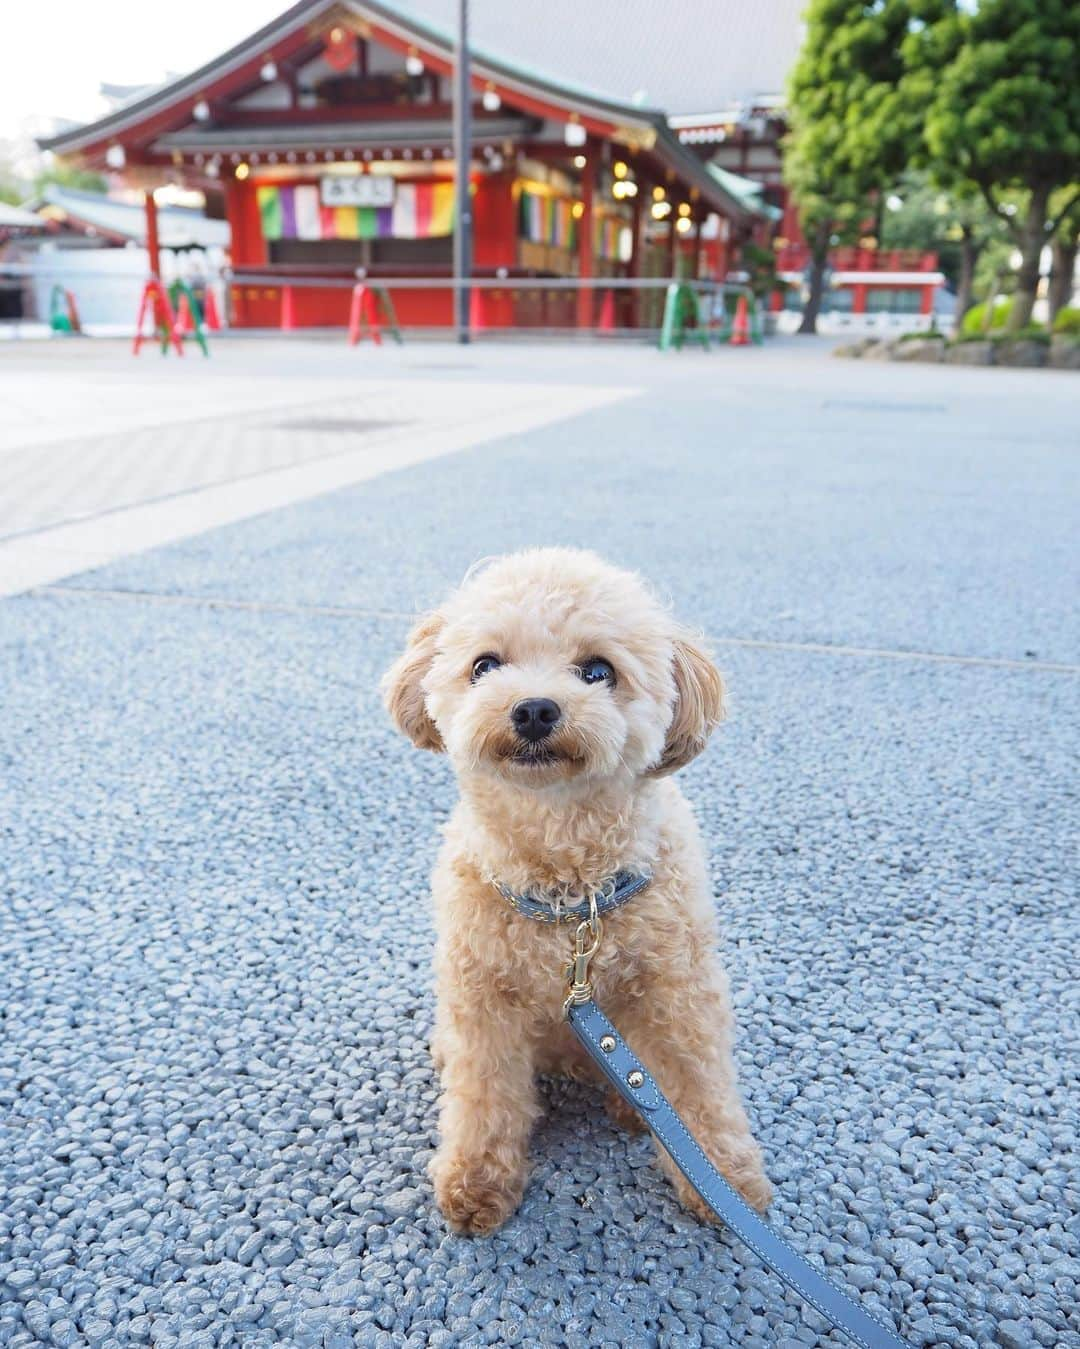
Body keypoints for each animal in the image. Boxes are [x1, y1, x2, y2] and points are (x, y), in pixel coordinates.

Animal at [380, 544, 765, 1235]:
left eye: (597, 671)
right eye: (484, 665)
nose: (534, 708)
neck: (567, 895)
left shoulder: (680, 992)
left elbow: (701, 1086)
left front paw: (725, 1184)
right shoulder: (483, 999)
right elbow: (483, 1096)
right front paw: (477, 1184)